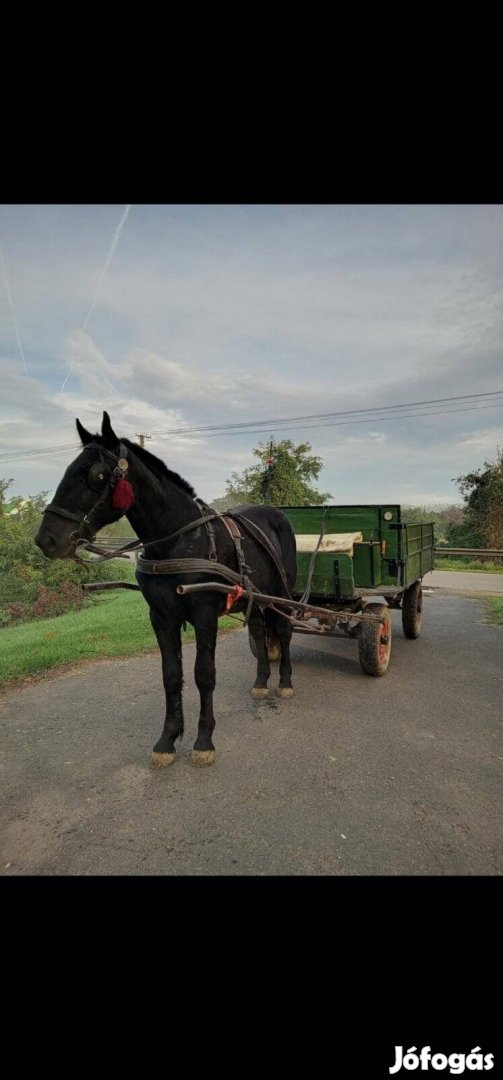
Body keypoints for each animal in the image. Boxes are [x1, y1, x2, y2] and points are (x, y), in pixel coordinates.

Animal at [36, 412, 297, 768]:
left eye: (96, 474)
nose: (46, 539)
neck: (178, 541)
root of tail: (274, 512)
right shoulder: (160, 616)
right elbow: (171, 675)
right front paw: (167, 740)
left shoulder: (204, 615)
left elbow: (203, 674)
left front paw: (203, 741)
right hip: (255, 596)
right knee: (258, 627)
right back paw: (260, 682)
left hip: (283, 591)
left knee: (283, 630)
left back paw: (284, 682)